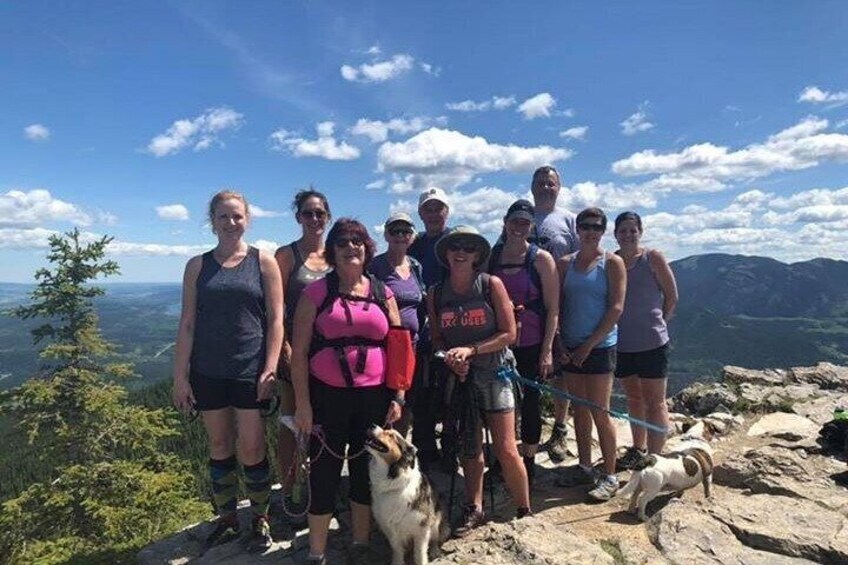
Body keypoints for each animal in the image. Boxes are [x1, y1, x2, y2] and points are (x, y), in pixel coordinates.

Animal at [362, 426, 444, 560]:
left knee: (435, 538)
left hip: (436, 520)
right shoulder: (389, 528)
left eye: (391, 435)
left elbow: (419, 554)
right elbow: (397, 550)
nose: (371, 426)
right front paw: (397, 561)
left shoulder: (422, 526)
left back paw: (435, 551)